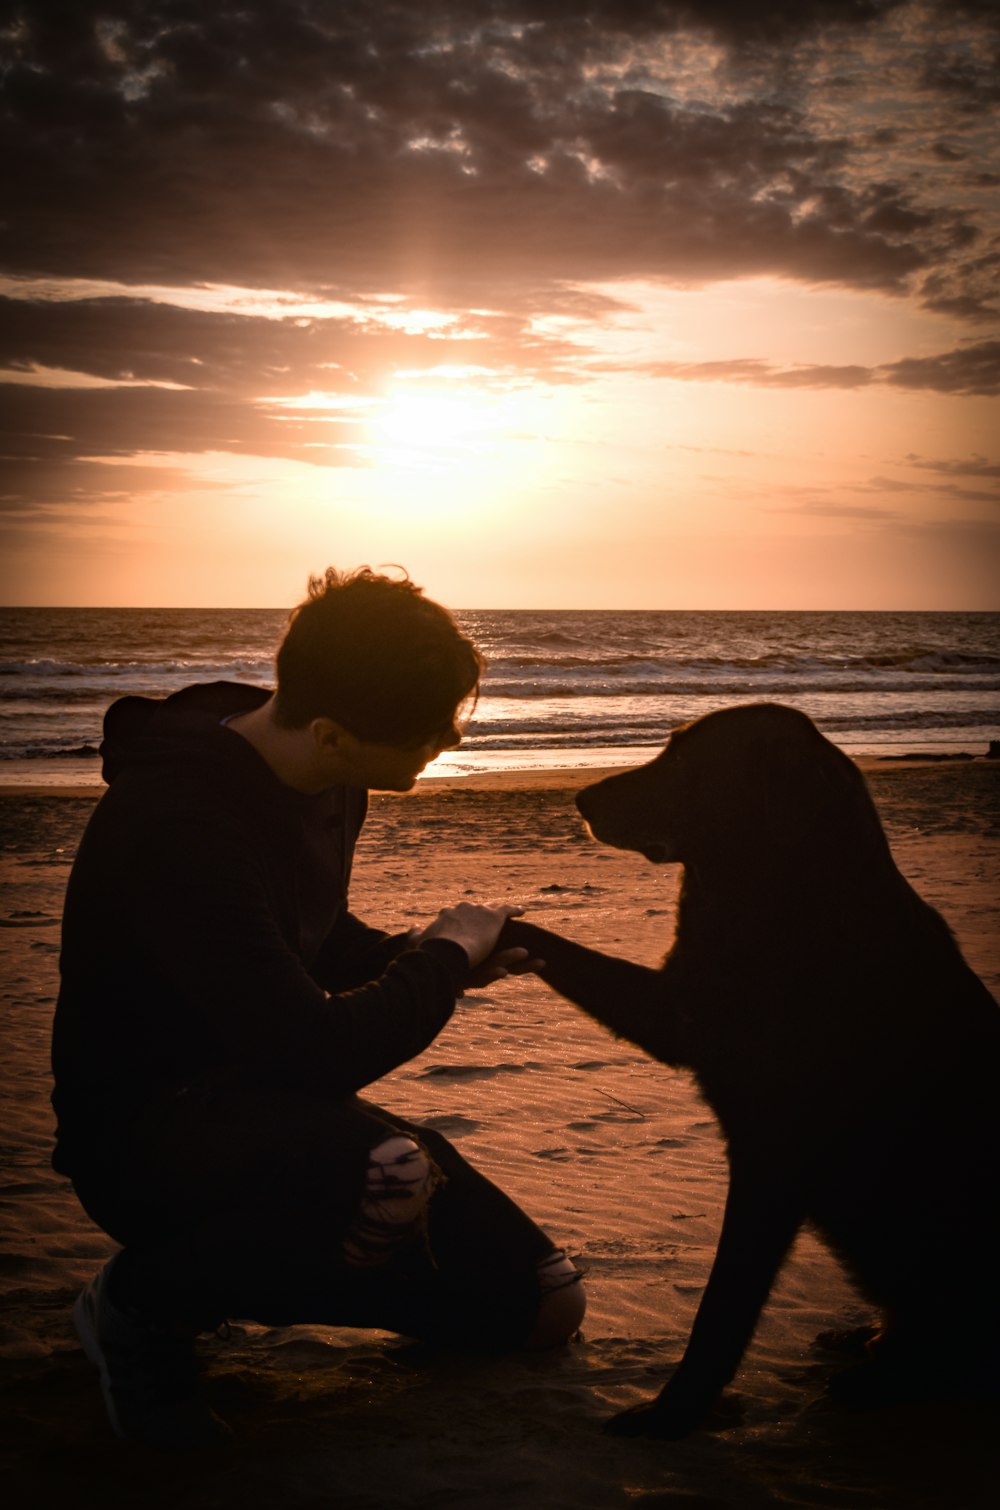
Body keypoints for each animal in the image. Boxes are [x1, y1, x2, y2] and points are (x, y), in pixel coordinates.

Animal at [504, 706, 996, 1437]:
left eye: (685, 761)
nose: (581, 799)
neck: (779, 908)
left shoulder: (773, 1158)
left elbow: (723, 1307)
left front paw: (673, 1411)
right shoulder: (676, 1013)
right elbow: (547, 941)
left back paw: (879, 1374)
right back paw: (866, 1340)